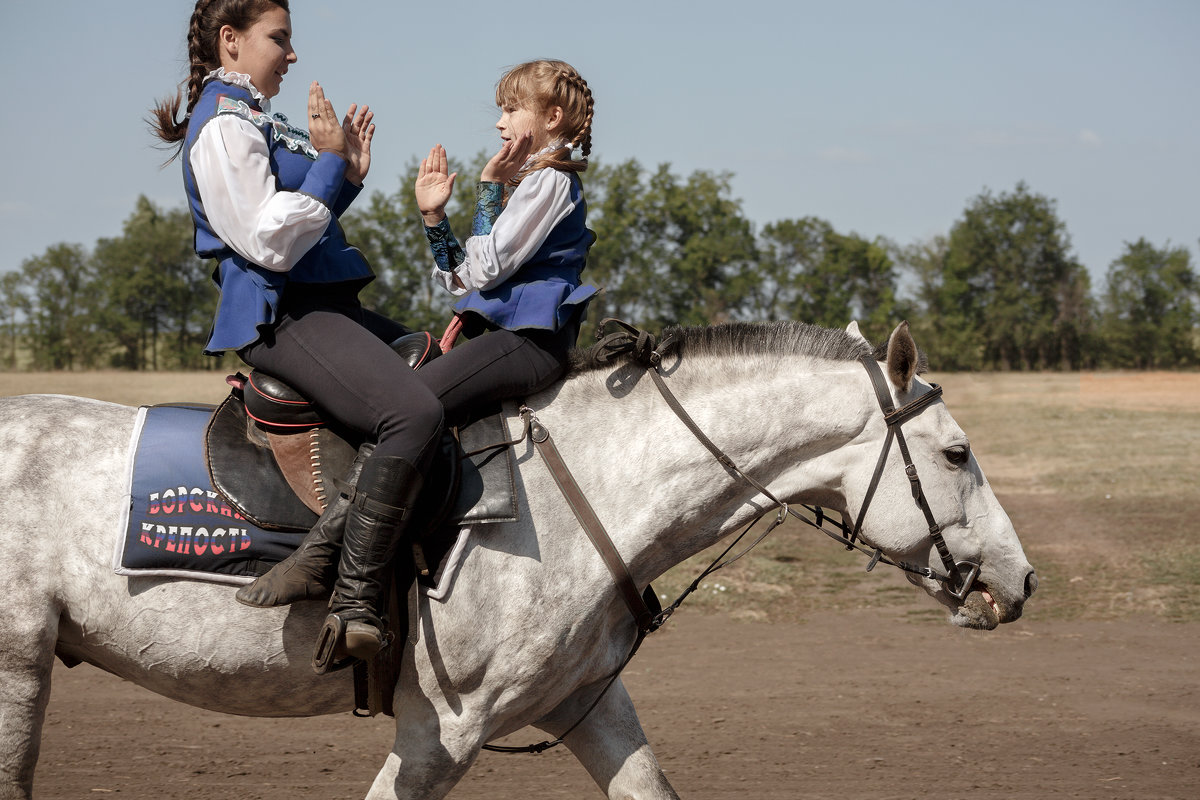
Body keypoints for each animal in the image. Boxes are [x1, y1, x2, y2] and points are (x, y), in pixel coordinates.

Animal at [0, 321, 1032, 800]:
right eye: (956, 453)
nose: (1019, 583)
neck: (591, 494)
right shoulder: (442, 734)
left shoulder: (584, 705)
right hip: (16, 669)